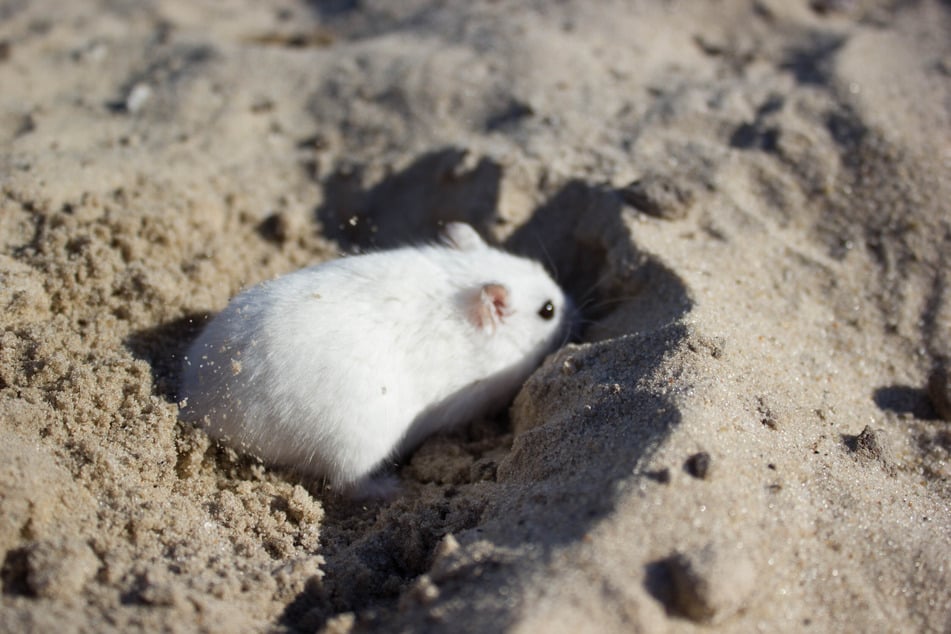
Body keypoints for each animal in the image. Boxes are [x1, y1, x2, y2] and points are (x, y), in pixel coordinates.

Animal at [179, 223, 571, 498]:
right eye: (547, 310)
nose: (571, 307)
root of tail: (201, 407)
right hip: (360, 443)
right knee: (350, 484)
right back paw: (393, 489)